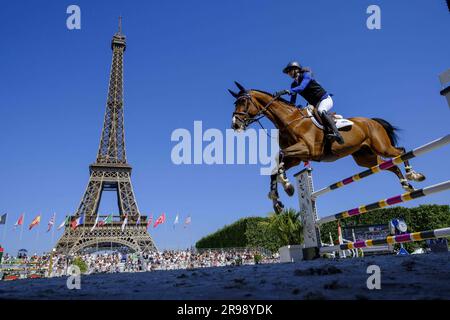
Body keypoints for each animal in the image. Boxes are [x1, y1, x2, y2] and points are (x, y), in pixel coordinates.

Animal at [229, 81, 426, 214]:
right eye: (236, 103)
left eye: (243, 102)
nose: (235, 125)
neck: (289, 120)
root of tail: (372, 121)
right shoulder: (297, 158)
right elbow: (275, 167)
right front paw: (276, 201)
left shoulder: (307, 150)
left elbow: (281, 158)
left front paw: (287, 186)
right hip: (366, 158)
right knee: (390, 165)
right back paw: (406, 185)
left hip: (381, 146)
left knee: (401, 151)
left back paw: (414, 175)